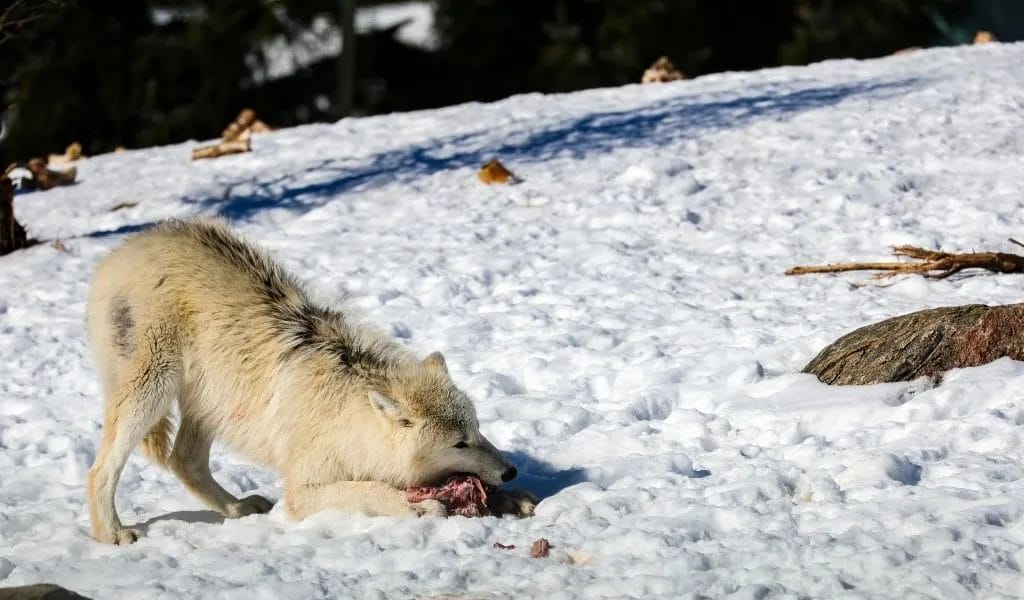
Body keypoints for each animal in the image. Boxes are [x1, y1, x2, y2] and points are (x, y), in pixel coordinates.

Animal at [86, 218, 536, 540]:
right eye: (459, 443)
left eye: (477, 431)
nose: (511, 472)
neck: (348, 416)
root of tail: (119, 252)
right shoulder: (304, 490)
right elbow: (370, 491)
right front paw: (419, 507)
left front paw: (512, 499)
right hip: (152, 392)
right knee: (100, 472)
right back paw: (113, 533)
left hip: (212, 402)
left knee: (185, 461)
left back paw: (237, 509)